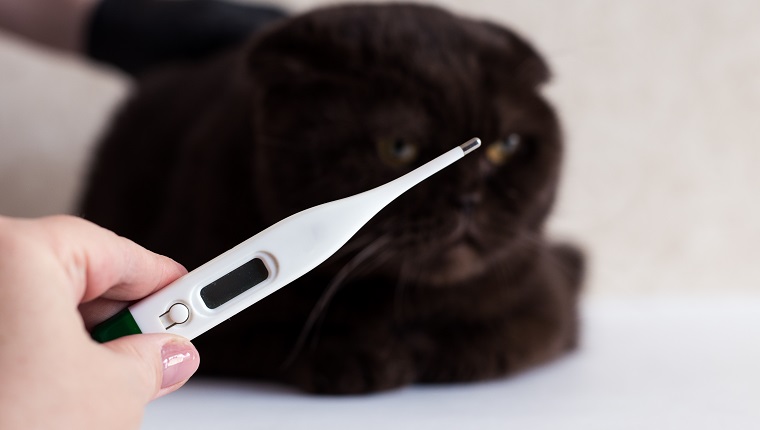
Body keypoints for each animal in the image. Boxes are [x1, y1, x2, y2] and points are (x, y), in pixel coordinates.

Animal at [80, 2, 584, 394]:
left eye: (506, 146)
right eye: (397, 147)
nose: (467, 198)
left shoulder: (547, 296)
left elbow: (508, 335)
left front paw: (428, 350)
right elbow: (275, 337)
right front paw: (360, 358)